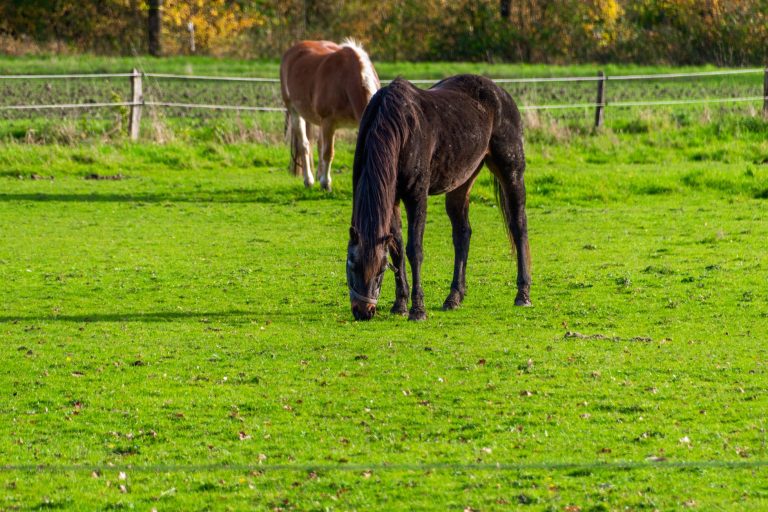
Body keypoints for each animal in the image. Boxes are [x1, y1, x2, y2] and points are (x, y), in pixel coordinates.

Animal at [280, 39, 380, 192]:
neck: (347, 81)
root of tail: (291, 51)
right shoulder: (329, 122)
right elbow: (328, 153)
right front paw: (326, 183)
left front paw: (324, 180)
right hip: (295, 111)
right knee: (305, 145)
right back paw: (309, 180)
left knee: (319, 144)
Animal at [346, 74, 531, 321]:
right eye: (352, 265)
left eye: (380, 270)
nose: (363, 312)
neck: (399, 127)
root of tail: (500, 92)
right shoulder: (392, 199)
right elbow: (396, 247)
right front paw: (400, 304)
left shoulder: (416, 196)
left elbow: (414, 250)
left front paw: (417, 309)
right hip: (461, 181)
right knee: (462, 234)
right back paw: (454, 297)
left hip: (511, 172)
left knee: (518, 226)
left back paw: (523, 294)